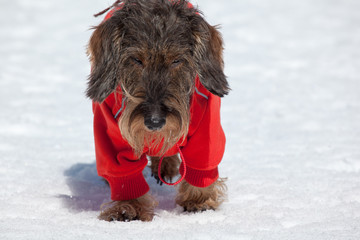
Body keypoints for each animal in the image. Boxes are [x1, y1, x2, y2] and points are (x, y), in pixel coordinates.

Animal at [86, 0, 229, 221]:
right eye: (136, 60)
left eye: (177, 60)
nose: (155, 121)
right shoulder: (109, 129)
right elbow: (123, 172)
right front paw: (129, 207)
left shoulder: (207, 126)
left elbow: (202, 161)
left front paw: (199, 201)